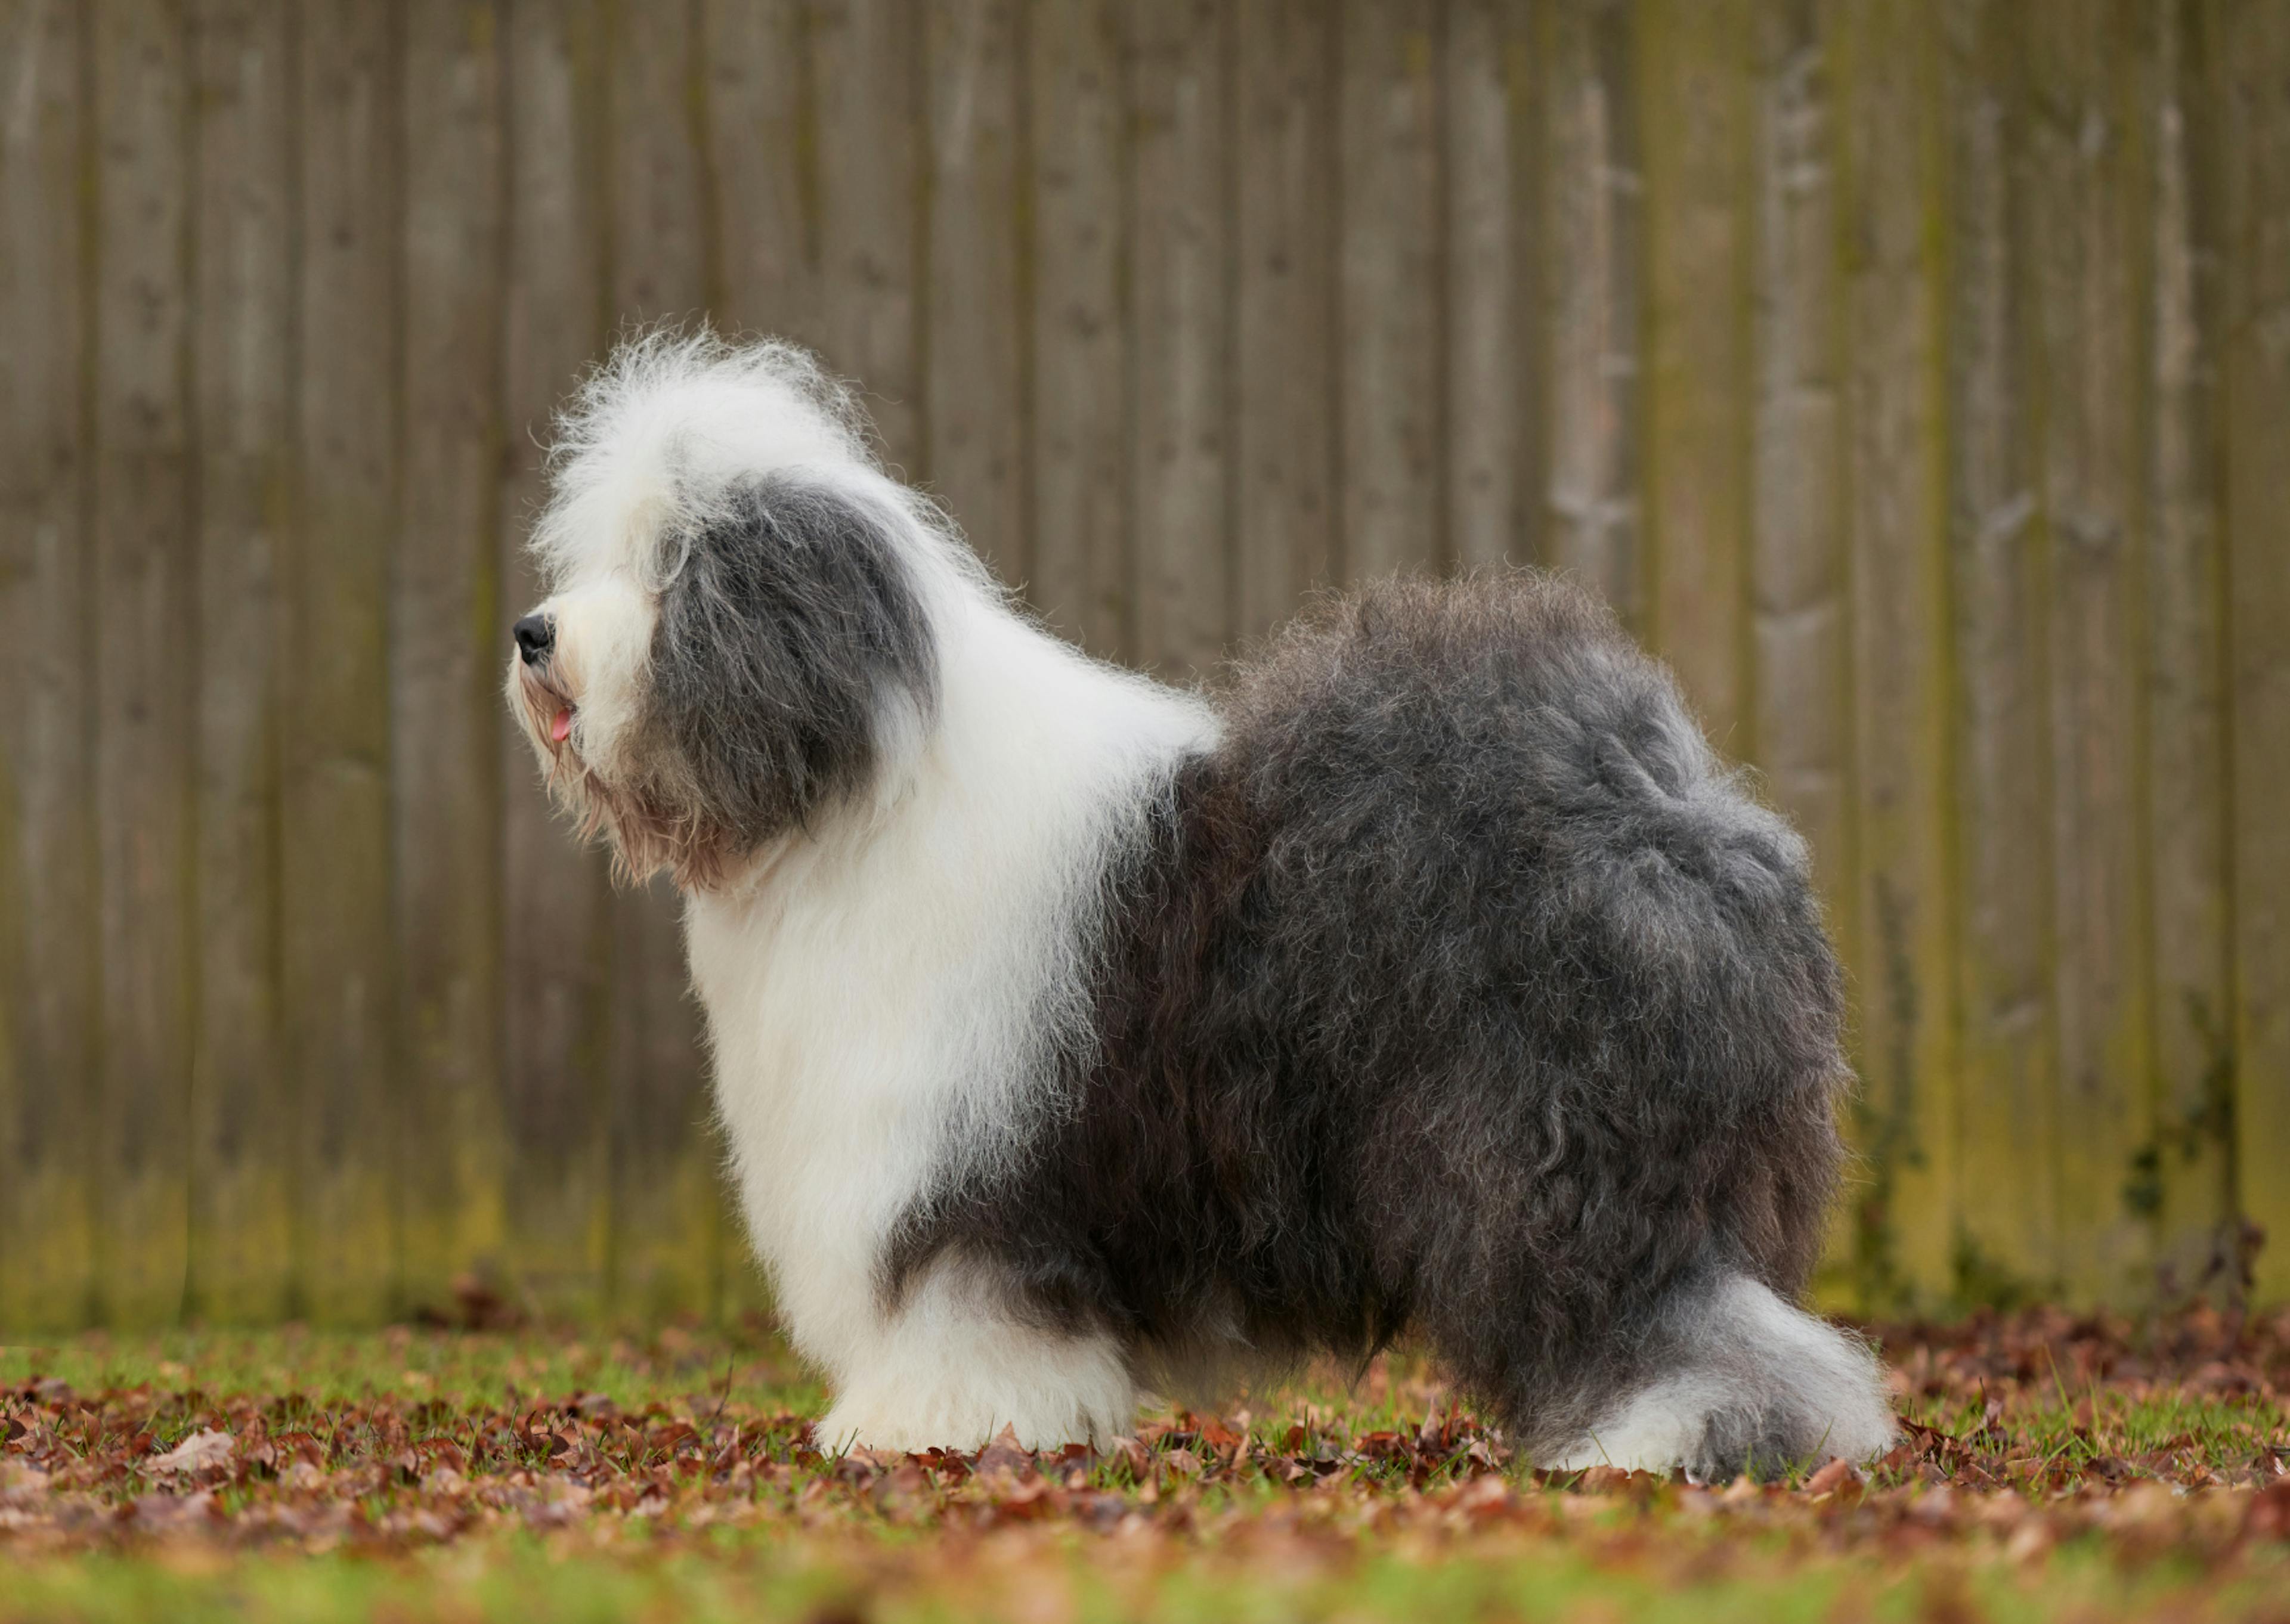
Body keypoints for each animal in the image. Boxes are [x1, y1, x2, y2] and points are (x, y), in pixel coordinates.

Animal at [515, 332, 1896, 1484]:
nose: (533, 632)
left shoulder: (957, 1162)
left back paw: (1654, 1438)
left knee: (1657, 1308)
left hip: (1555, 1146)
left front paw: (931, 1424)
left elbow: (959, 1295)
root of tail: (1675, 803)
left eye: (677, 571)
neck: (856, 793)